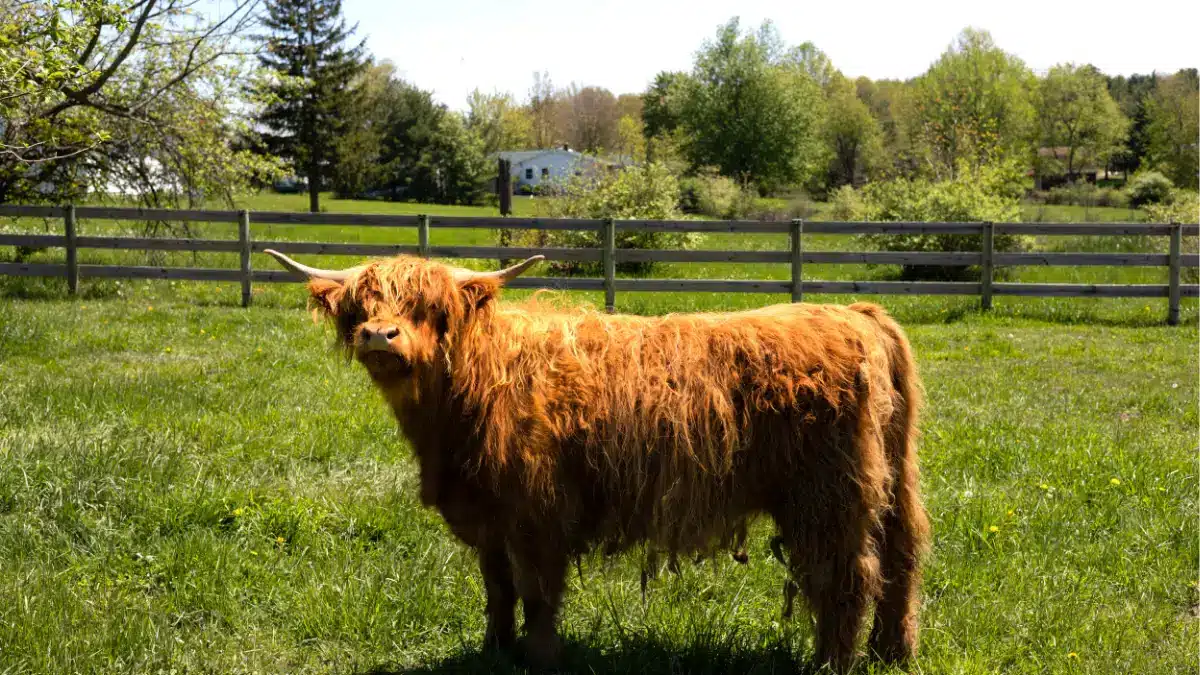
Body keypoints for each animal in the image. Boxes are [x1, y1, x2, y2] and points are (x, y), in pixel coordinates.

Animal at [265, 249, 931, 673]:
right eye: (359, 309)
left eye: (434, 309)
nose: (380, 336)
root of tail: (856, 314)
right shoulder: (489, 516)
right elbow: (497, 588)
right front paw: (494, 650)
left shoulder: (537, 512)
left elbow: (538, 592)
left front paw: (539, 659)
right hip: (892, 478)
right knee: (902, 555)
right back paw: (894, 653)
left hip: (827, 495)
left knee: (846, 576)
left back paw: (831, 663)